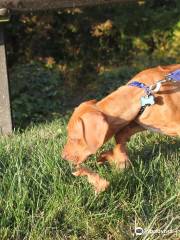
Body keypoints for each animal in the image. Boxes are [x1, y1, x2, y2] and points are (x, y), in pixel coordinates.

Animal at [62, 64, 180, 192]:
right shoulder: (139, 121)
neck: (143, 93)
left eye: (74, 138)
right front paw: (120, 161)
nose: (63, 156)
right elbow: (120, 135)